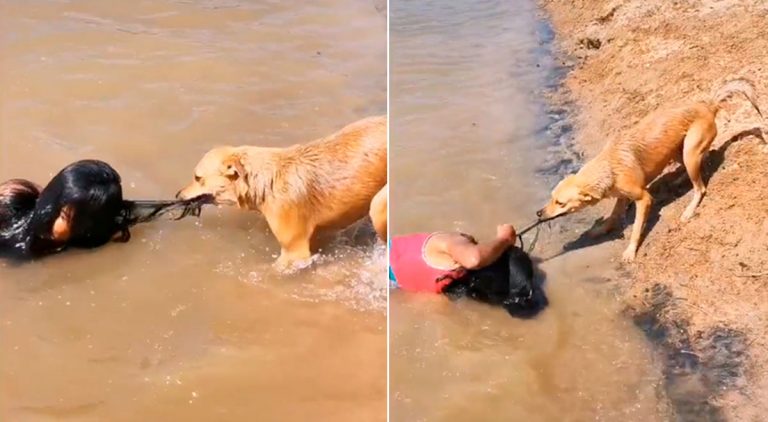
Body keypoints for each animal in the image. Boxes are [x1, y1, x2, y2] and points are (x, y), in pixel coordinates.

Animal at [536, 78, 764, 262]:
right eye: (552, 197)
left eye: (560, 203)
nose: (539, 213)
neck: (609, 166)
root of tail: (708, 106)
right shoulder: (621, 196)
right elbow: (613, 216)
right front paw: (602, 230)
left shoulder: (643, 198)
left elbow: (637, 228)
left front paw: (630, 251)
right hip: (677, 151)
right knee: (702, 161)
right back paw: (678, 180)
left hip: (689, 151)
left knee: (700, 187)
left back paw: (689, 209)